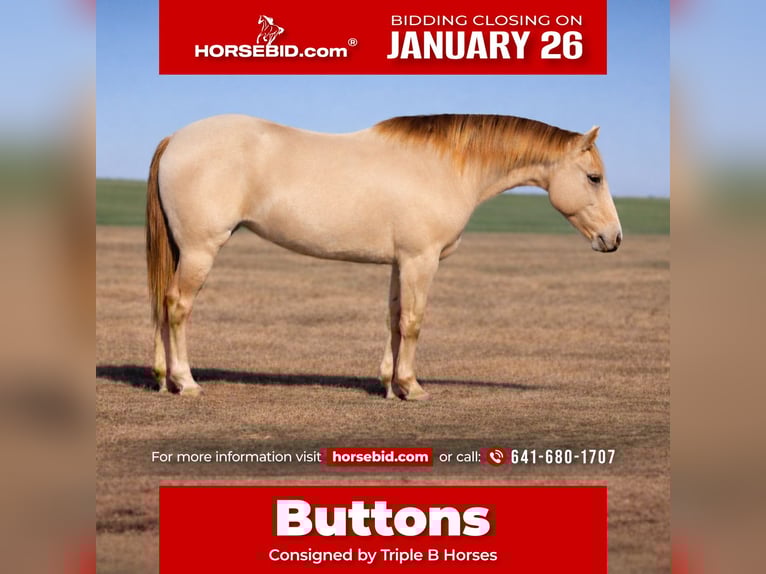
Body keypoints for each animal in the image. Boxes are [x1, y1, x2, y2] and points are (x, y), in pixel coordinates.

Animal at [146, 114, 622, 400]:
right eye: (594, 178)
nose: (614, 238)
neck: (445, 166)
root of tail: (175, 139)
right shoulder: (420, 260)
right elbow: (413, 322)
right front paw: (412, 387)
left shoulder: (400, 263)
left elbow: (394, 319)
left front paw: (390, 385)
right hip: (200, 250)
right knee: (178, 306)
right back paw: (186, 382)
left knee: (162, 305)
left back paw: (162, 378)